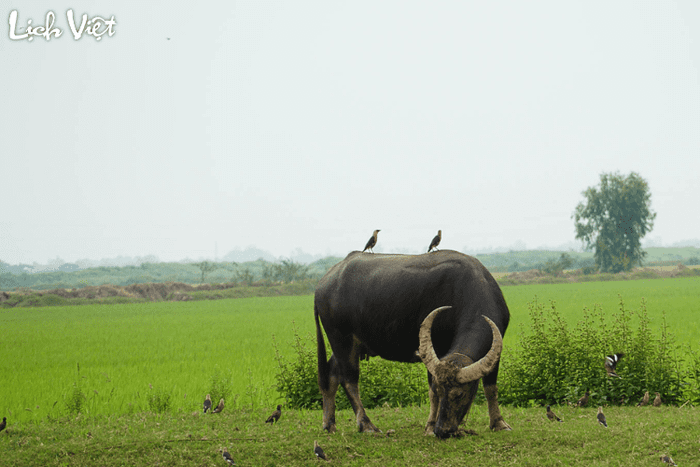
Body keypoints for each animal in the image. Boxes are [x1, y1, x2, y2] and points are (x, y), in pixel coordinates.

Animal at [314, 250, 512, 436]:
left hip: (349, 346)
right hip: (341, 340)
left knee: (331, 374)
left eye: (460, 394)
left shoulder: (494, 349)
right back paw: (366, 425)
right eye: (441, 391)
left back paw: (329, 424)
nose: (443, 430)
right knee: (349, 380)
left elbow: (490, 388)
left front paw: (499, 423)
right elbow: (431, 391)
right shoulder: (435, 347)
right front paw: (430, 427)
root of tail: (323, 285)